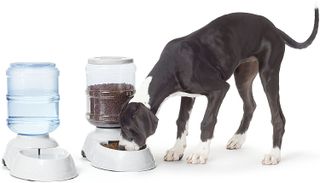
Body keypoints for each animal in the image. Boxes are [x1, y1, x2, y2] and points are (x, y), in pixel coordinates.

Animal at [119, 8, 318, 166]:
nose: (121, 147)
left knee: (278, 117)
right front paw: (177, 150)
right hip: (243, 76)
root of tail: (274, 27)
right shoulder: (188, 94)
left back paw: (274, 154)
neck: (172, 65)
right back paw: (238, 138)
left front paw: (200, 152)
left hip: (268, 74)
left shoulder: (219, 89)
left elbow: (207, 121)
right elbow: (181, 121)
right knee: (250, 105)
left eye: (129, 129)